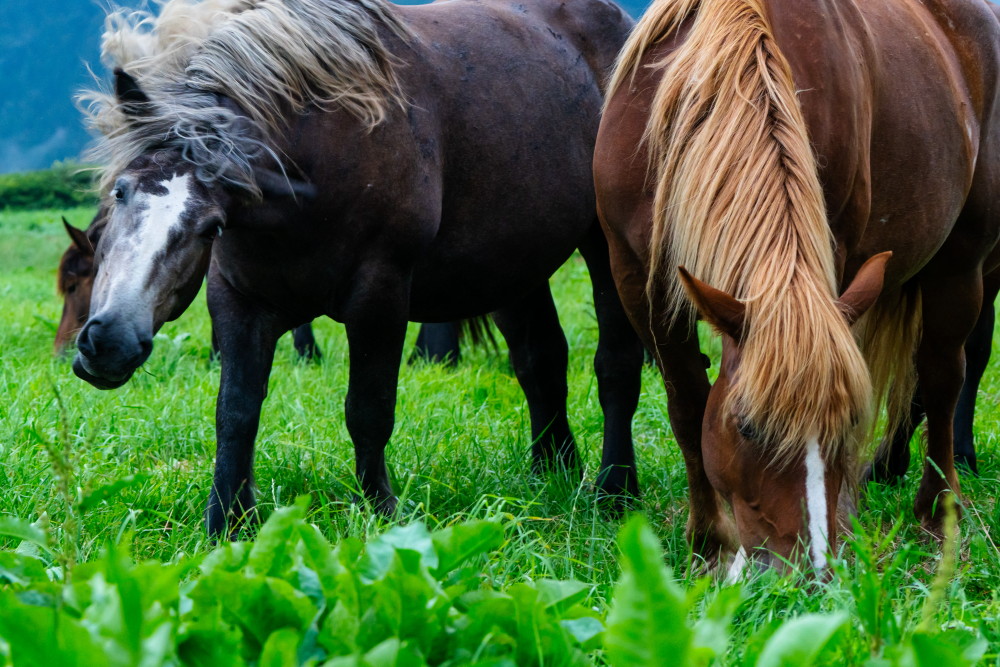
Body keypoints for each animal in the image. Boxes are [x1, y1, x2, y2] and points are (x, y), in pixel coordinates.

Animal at [594, 0, 1000, 571]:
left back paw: (936, 516)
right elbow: (687, 404)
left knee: (942, 380)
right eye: (747, 427)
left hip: (961, 266)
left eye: (846, 422)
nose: (809, 570)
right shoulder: (636, 277)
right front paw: (709, 544)